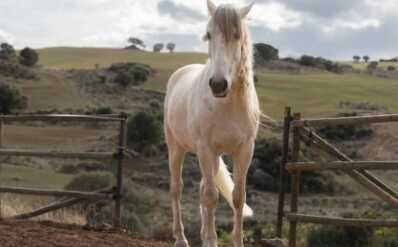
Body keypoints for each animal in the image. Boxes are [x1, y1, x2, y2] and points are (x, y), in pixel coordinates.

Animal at [164, 0, 260, 246]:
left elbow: (237, 197)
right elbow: (210, 197)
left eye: (237, 35)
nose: (218, 84)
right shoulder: (205, 149)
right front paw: (210, 240)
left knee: (202, 187)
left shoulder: (244, 151)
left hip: (214, 158)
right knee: (177, 189)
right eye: (208, 34)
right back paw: (181, 238)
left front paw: (236, 241)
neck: (226, 105)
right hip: (176, 148)